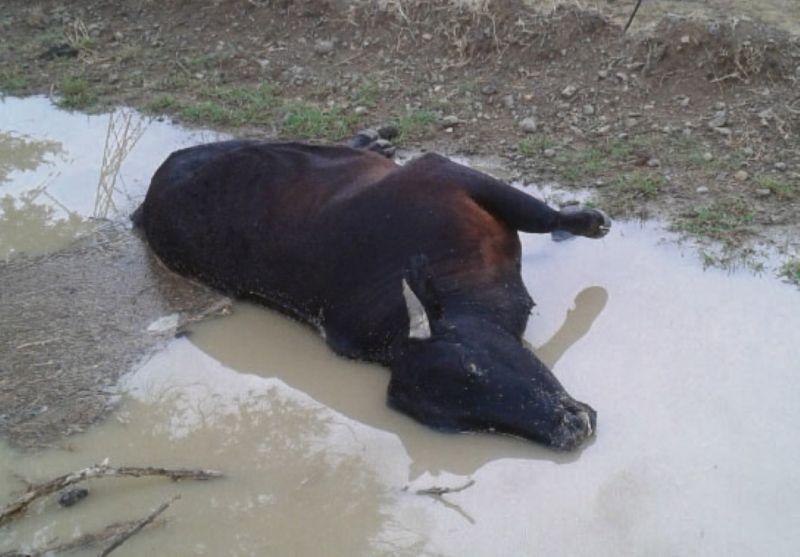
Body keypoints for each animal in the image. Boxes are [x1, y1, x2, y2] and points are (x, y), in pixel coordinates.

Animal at [133, 130, 611, 450]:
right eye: (462, 421)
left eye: (475, 369)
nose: (571, 428)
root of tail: (149, 200)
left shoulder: (443, 172)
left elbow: (544, 216)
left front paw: (587, 222)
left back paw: (374, 140)